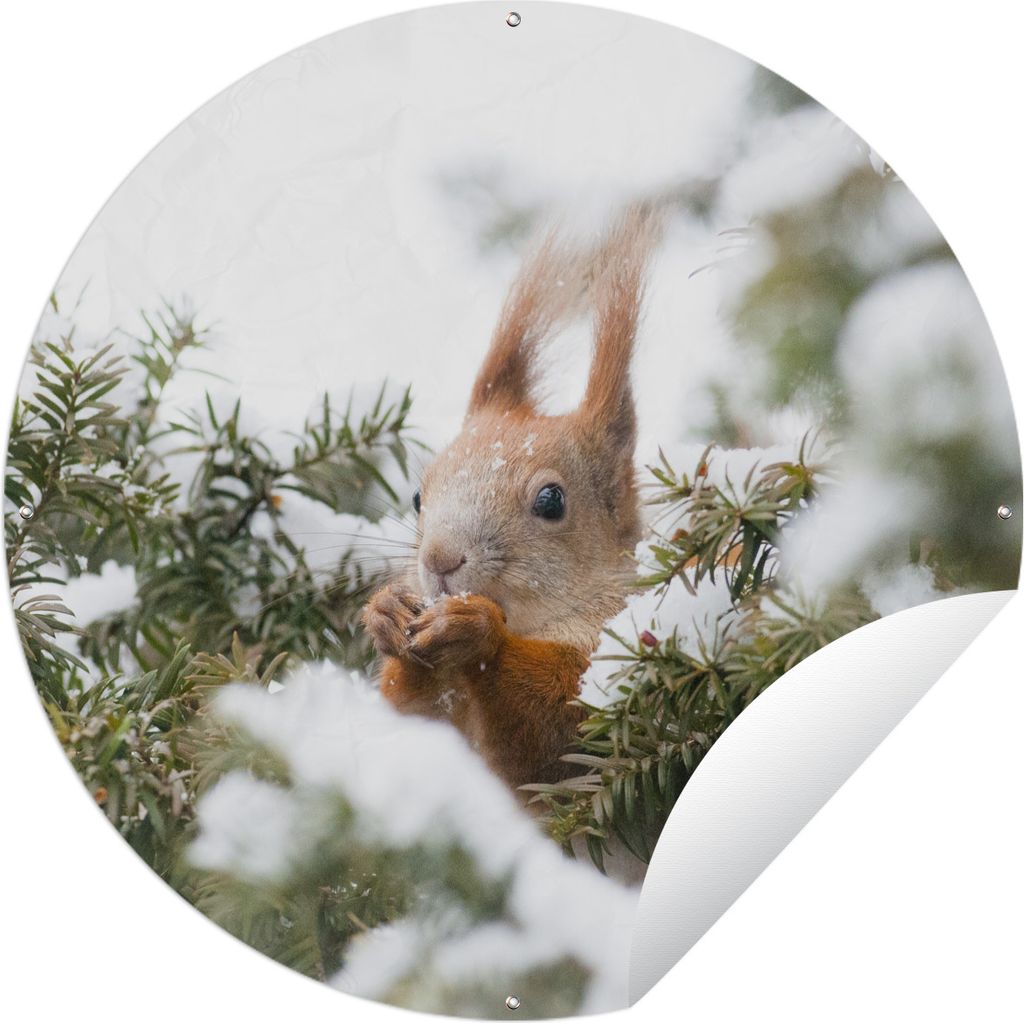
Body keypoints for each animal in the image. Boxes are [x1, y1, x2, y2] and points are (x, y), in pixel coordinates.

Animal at [362, 208, 658, 789]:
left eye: (551, 501)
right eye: (417, 496)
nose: (439, 560)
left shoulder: (616, 660)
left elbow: (556, 732)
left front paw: (477, 632)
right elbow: (413, 719)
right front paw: (385, 611)